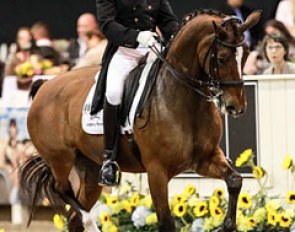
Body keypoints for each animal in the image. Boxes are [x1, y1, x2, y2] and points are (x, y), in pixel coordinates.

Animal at [20, 9, 262, 232]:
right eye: (222, 58)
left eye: (247, 54)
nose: (236, 107)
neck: (185, 101)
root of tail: (44, 85)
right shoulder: (157, 172)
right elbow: (166, 223)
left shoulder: (205, 159)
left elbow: (235, 180)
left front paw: (228, 225)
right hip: (60, 159)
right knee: (62, 190)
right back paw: (91, 222)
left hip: (89, 168)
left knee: (73, 217)